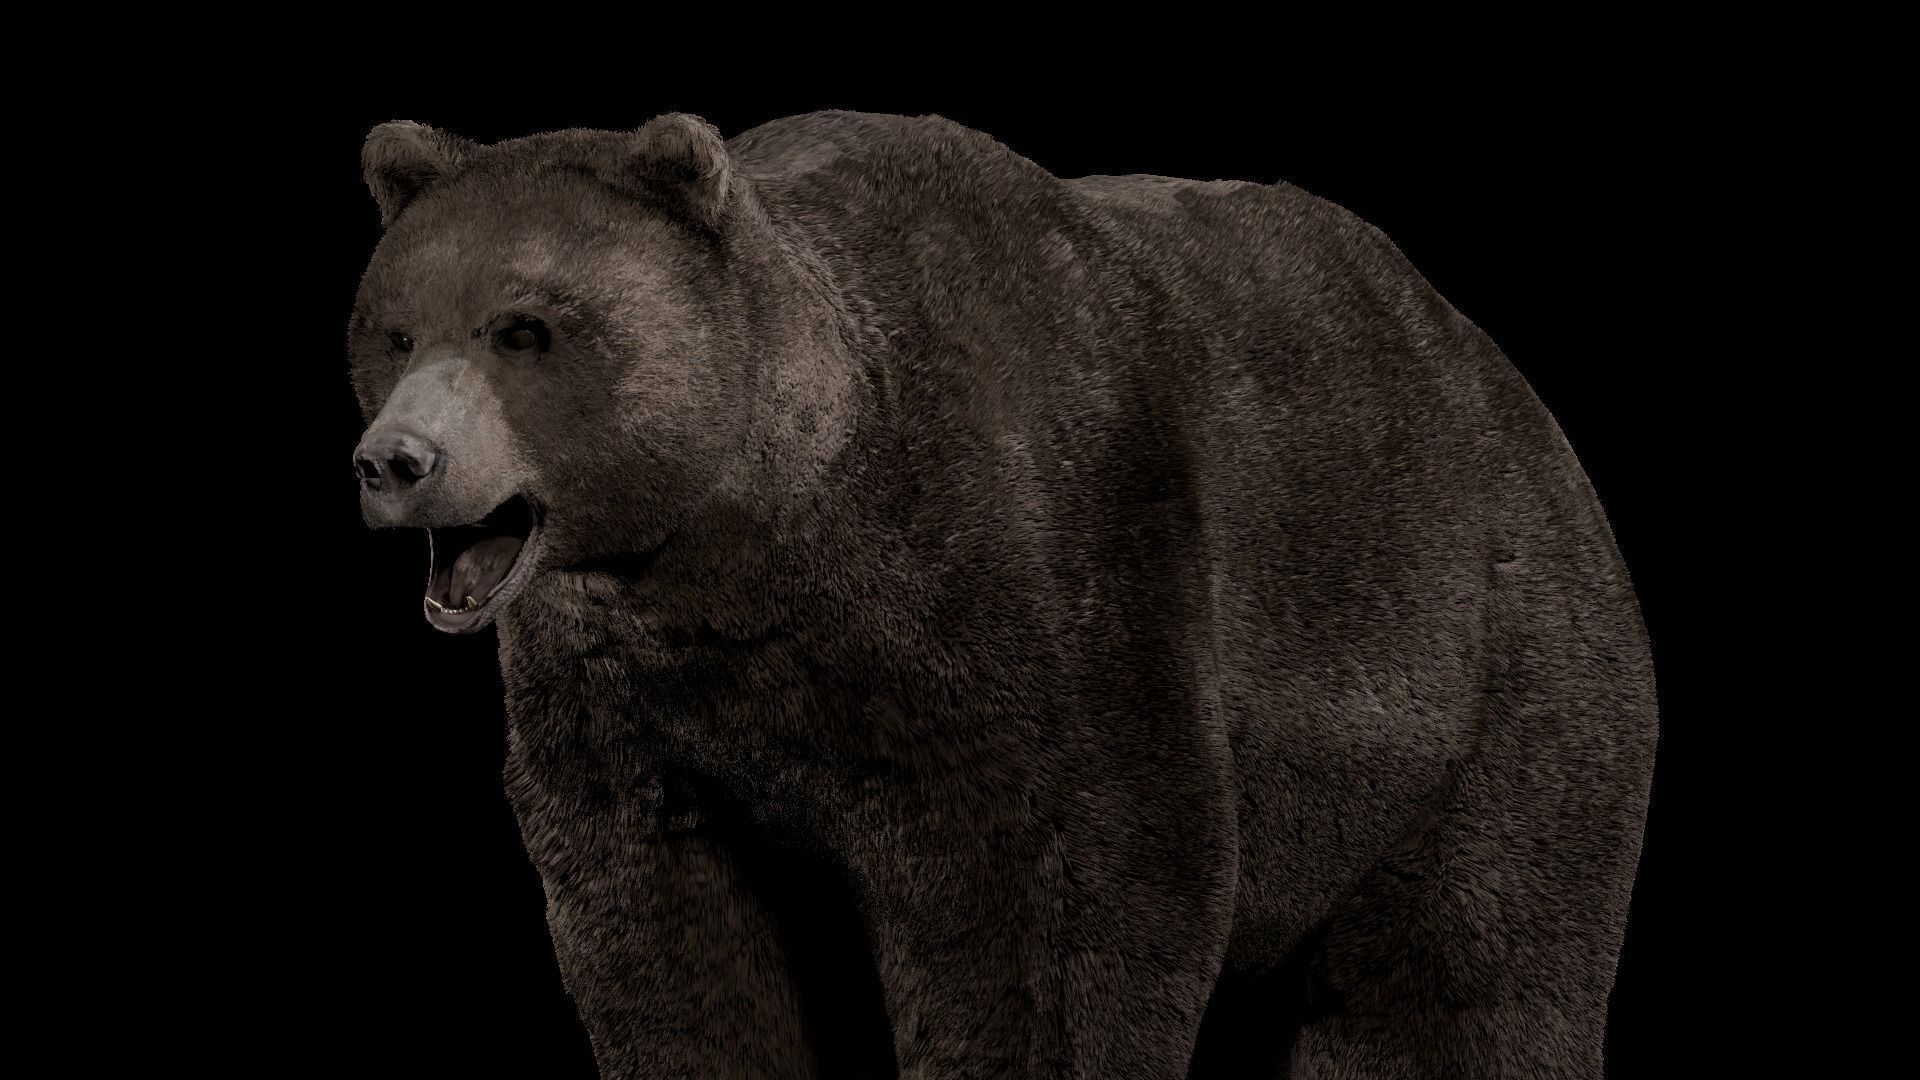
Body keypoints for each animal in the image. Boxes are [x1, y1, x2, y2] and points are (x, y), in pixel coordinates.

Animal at [347, 110, 1658, 1079]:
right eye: (393, 329)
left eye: (526, 327)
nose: (396, 461)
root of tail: (1499, 375)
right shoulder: (623, 700)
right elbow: (660, 924)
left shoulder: (1035, 581)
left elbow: (1064, 895)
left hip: (1484, 677)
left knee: (1467, 974)